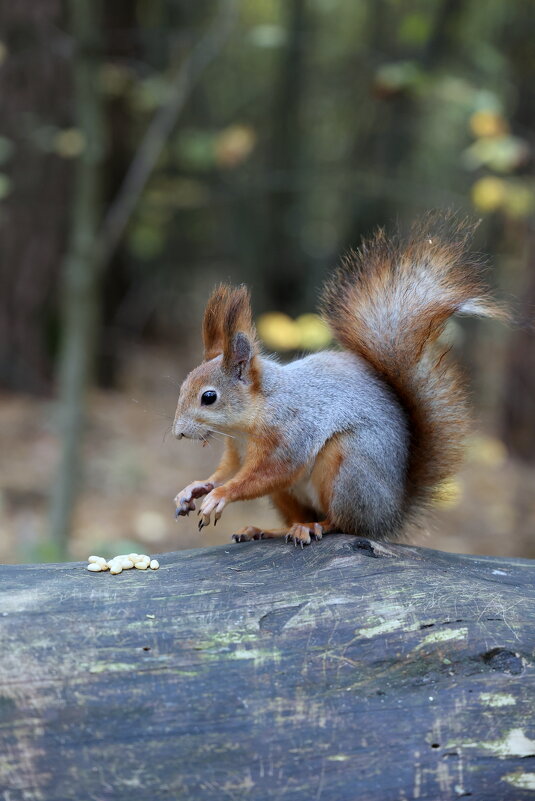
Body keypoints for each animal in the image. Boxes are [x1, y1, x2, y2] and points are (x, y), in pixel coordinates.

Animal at [172, 216, 502, 548]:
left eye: (209, 397)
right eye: (183, 387)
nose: (178, 433)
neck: (248, 421)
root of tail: (390, 516)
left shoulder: (290, 433)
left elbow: (268, 474)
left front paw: (220, 495)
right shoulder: (236, 450)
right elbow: (227, 469)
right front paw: (196, 488)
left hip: (347, 467)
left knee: (345, 524)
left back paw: (313, 527)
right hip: (291, 495)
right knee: (299, 517)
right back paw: (268, 529)